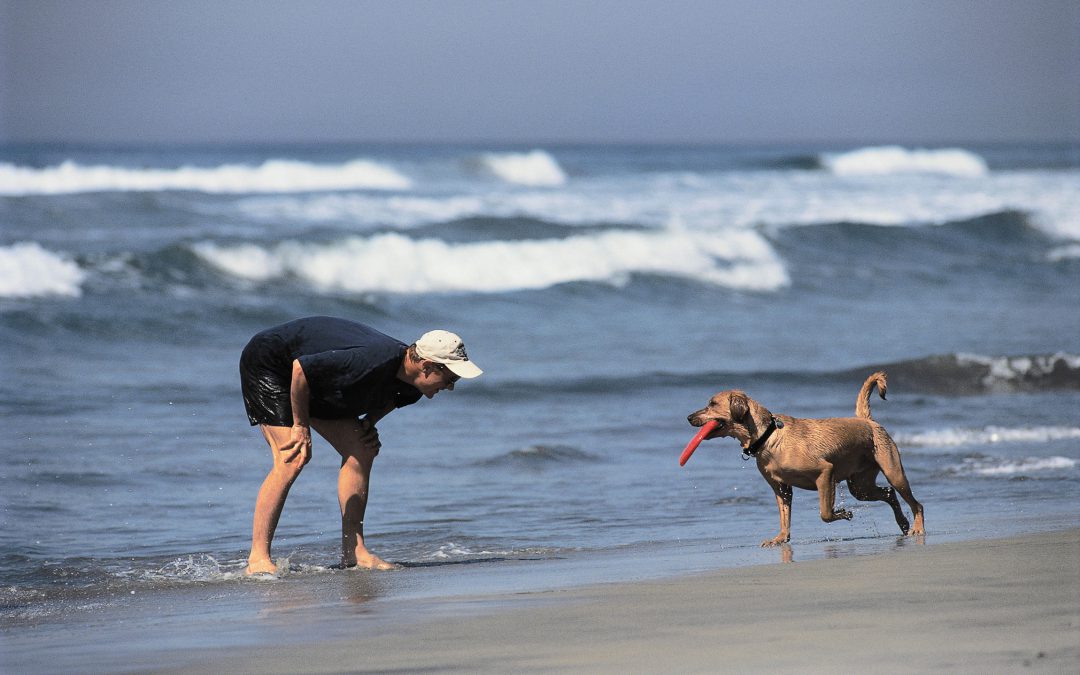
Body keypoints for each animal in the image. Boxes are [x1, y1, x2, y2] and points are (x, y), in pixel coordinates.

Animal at [686, 371, 924, 544]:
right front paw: (781, 538)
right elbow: (785, 516)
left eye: (712, 404)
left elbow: (825, 513)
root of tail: (867, 421)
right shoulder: (781, 488)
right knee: (889, 494)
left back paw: (918, 528)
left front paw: (843, 513)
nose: (688, 417)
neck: (769, 437)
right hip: (860, 486)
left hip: (893, 471)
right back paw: (903, 523)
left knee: (915, 503)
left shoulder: (825, 473)